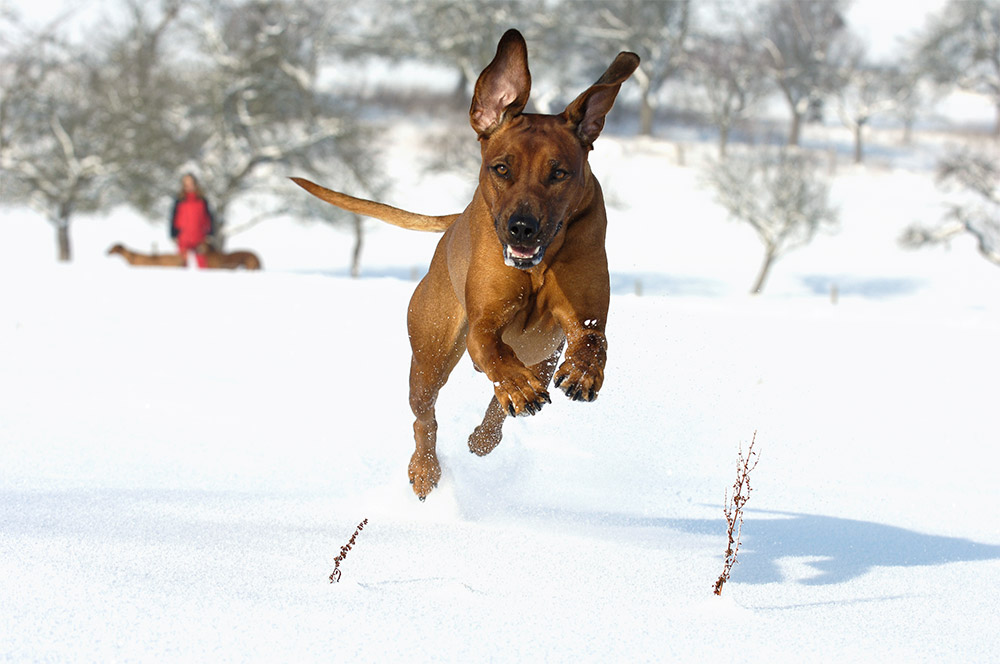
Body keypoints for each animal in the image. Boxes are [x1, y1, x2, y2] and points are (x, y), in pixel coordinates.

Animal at [292, 29, 636, 498]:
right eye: (502, 168)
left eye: (559, 173)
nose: (522, 229)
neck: (536, 266)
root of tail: (454, 222)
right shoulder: (484, 321)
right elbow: (493, 348)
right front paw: (515, 385)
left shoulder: (582, 316)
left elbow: (593, 340)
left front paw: (582, 373)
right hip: (429, 355)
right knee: (425, 416)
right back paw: (425, 469)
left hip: (542, 357)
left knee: (504, 400)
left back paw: (486, 435)